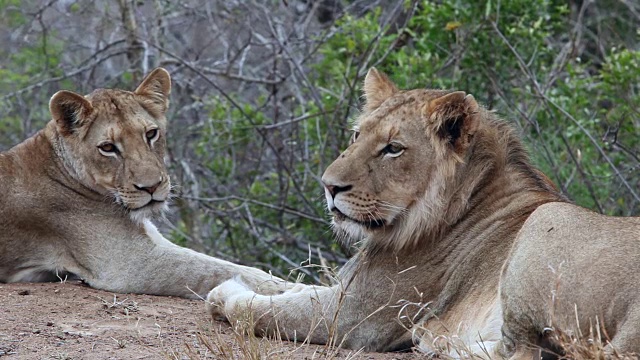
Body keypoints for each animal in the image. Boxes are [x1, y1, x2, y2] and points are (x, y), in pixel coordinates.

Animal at [0, 67, 286, 298]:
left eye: (151, 134)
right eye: (107, 148)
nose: (151, 187)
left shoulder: (151, 240)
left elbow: (222, 264)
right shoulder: (131, 262)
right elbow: (217, 270)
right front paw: (289, 289)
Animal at [208, 67, 568, 354]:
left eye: (393, 148)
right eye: (357, 134)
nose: (329, 186)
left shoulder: (352, 318)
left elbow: (256, 309)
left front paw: (227, 291)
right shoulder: (345, 289)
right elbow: (290, 288)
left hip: (546, 222)